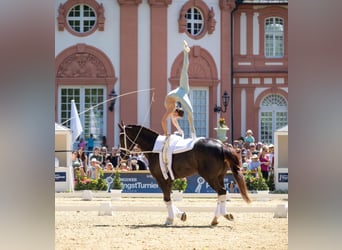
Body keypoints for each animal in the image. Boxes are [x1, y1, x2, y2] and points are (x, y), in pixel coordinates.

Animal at [118, 123, 251, 227]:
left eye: (121, 136)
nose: (122, 154)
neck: (155, 149)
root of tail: (222, 145)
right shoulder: (169, 179)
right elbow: (169, 197)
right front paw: (179, 215)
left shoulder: (161, 178)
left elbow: (166, 198)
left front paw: (171, 219)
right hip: (219, 176)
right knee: (222, 193)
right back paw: (216, 219)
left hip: (210, 177)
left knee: (222, 192)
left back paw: (223, 216)